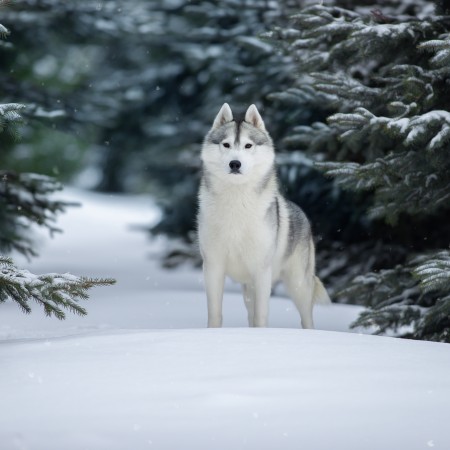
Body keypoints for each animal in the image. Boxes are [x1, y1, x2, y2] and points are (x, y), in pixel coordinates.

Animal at [197, 103, 330, 326]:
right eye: (226, 145)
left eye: (248, 146)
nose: (235, 164)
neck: (237, 200)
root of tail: (302, 214)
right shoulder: (213, 267)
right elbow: (215, 314)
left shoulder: (261, 270)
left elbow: (261, 315)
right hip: (249, 289)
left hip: (298, 285)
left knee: (307, 319)